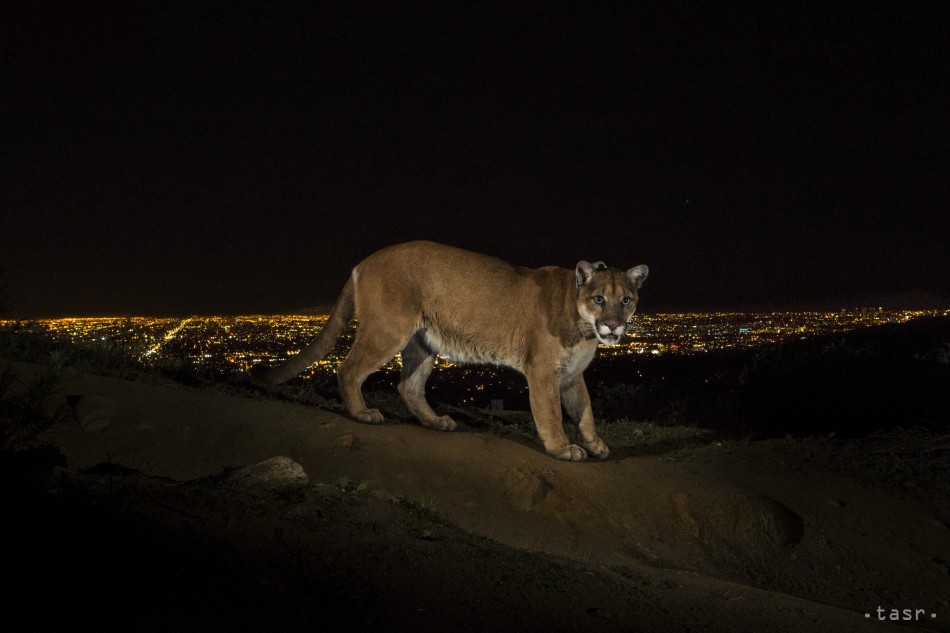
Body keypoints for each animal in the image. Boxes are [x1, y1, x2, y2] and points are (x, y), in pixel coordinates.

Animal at [253, 239, 652, 462]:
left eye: (626, 300)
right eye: (599, 299)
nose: (613, 326)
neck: (583, 327)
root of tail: (363, 261)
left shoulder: (571, 373)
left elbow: (585, 411)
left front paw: (596, 444)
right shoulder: (543, 370)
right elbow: (552, 414)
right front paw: (562, 449)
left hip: (424, 343)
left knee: (408, 386)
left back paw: (436, 422)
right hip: (388, 329)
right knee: (348, 369)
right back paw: (363, 414)